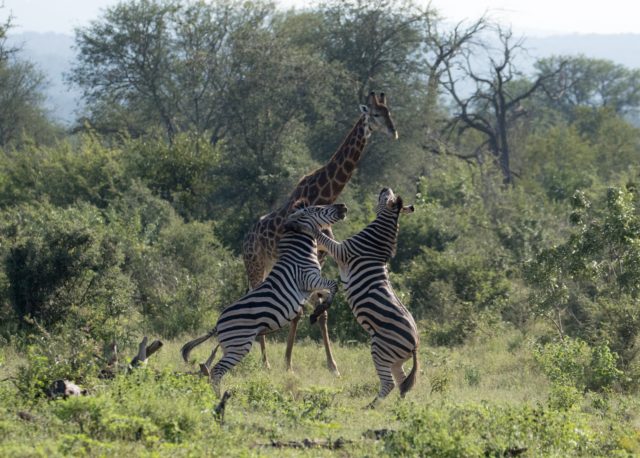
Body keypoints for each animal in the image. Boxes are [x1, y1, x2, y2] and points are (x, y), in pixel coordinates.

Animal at [181, 202, 347, 396]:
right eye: (318, 209)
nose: (343, 206)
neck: (299, 252)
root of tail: (218, 323)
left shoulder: (311, 285)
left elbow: (327, 293)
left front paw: (317, 312)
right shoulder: (308, 278)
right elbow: (333, 285)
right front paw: (320, 309)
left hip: (229, 346)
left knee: (211, 367)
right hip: (240, 346)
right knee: (217, 371)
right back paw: (219, 397)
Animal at [290, 188, 418, 407]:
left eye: (388, 196)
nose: (384, 188)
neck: (375, 242)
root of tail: (416, 345)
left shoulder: (342, 251)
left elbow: (320, 235)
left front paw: (306, 225)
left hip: (380, 350)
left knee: (389, 383)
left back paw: (370, 407)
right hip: (395, 359)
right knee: (402, 383)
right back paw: (399, 407)